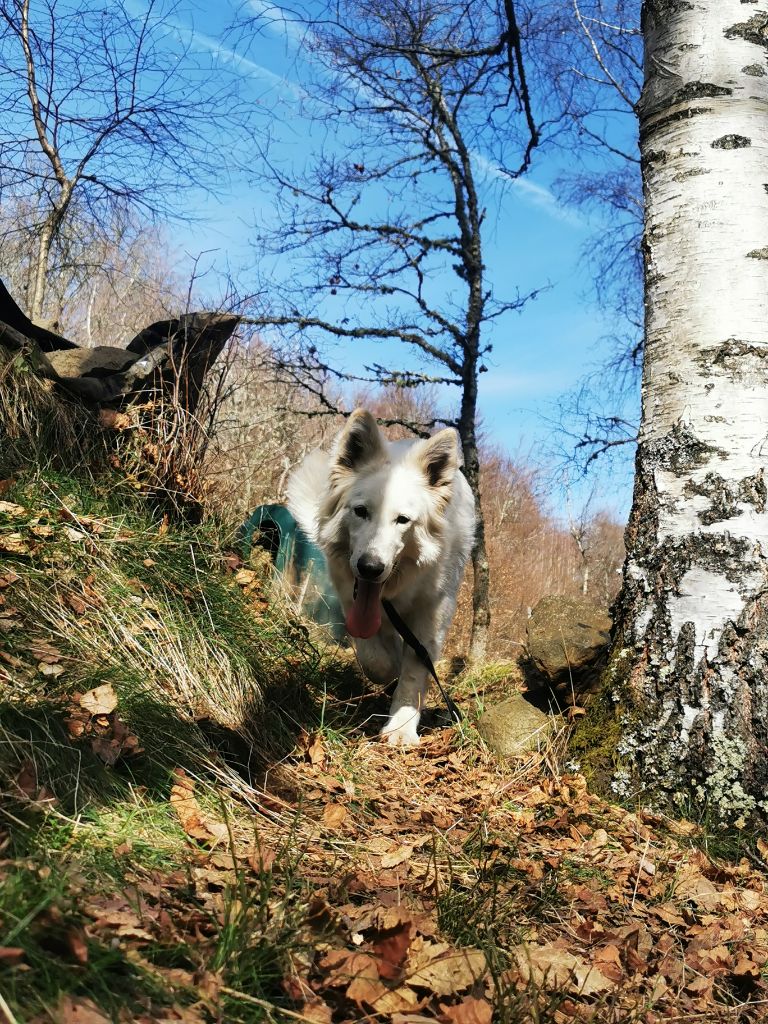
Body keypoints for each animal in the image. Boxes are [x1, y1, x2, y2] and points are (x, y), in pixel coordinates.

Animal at [286, 407, 475, 745]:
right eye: (360, 511)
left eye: (403, 520)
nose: (370, 568)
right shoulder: (351, 597)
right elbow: (375, 657)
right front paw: (389, 668)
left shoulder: (433, 612)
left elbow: (414, 670)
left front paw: (401, 728)